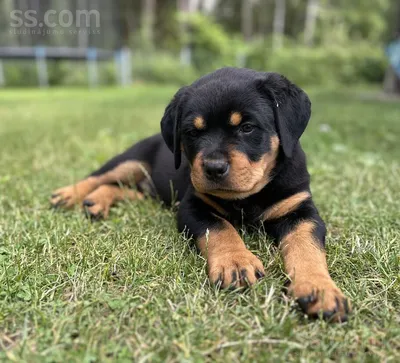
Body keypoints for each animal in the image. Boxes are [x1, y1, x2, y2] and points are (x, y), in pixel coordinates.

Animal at [50, 67, 350, 322]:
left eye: (247, 127)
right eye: (192, 132)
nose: (214, 167)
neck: (249, 196)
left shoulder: (301, 210)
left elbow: (307, 247)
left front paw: (320, 289)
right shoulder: (193, 206)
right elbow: (220, 228)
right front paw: (236, 263)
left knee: (123, 189)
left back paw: (96, 202)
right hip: (131, 160)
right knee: (100, 176)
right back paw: (69, 195)